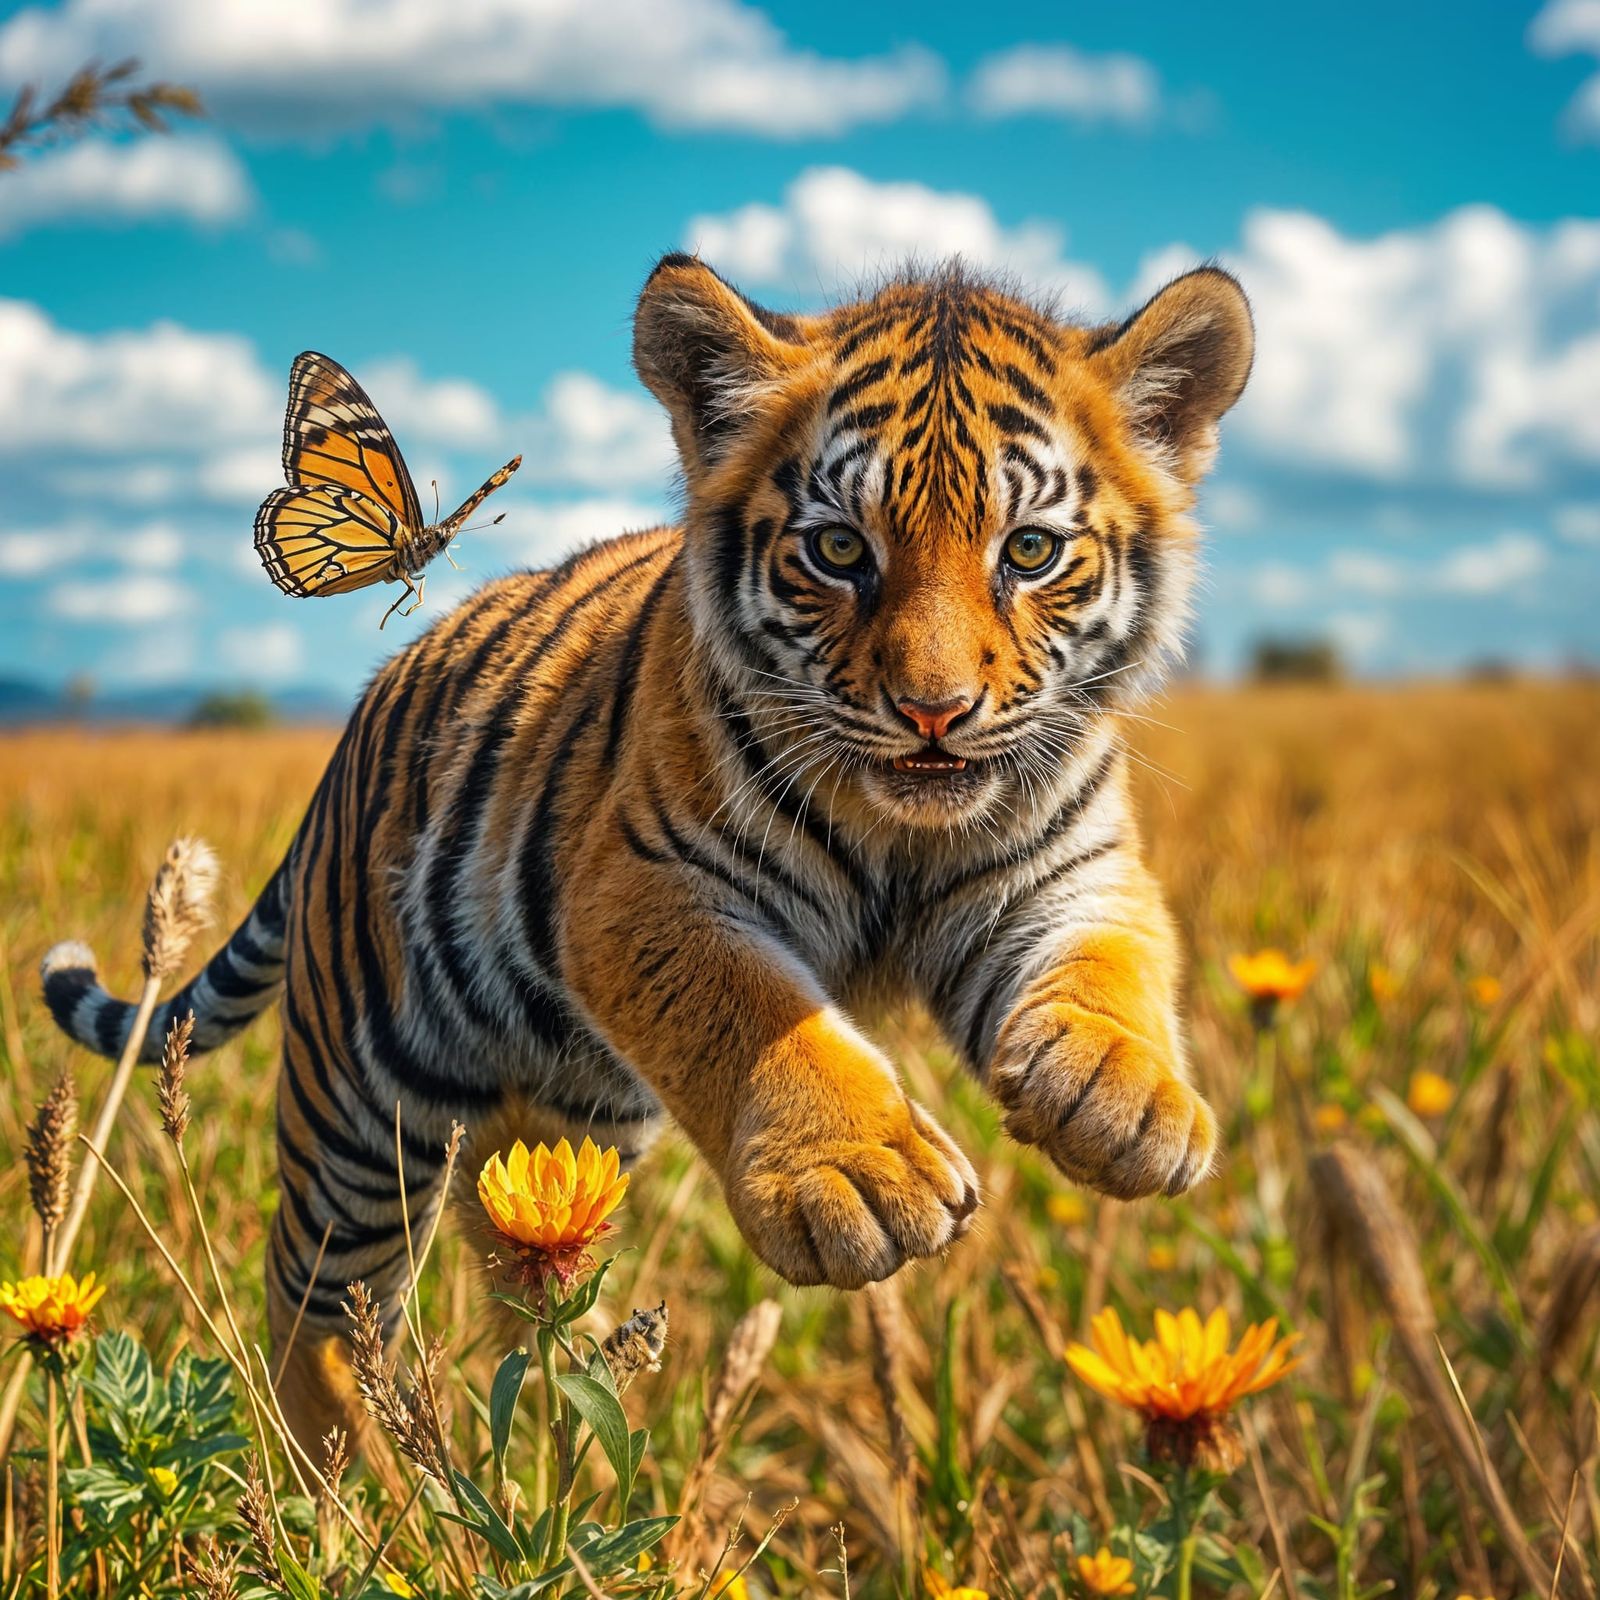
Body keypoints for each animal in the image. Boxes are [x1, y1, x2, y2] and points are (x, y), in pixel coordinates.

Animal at [41, 253, 1253, 1452]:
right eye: (840, 549)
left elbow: (1113, 962)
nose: (934, 712)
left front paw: (1126, 1102)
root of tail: (355, 727)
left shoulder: (1071, 869)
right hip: (356, 1114)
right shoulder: (646, 886)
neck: (902, 827)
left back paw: (560, 1417)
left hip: (565, 1116)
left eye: (1031, 551)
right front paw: (857, 1175)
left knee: (528, 1270)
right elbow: (757, 1013)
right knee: (323, 1321)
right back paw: (363, 1488)